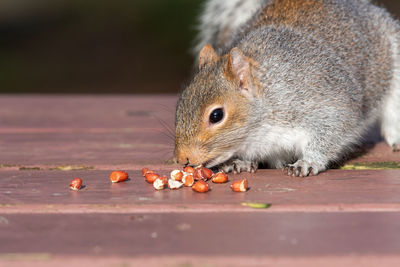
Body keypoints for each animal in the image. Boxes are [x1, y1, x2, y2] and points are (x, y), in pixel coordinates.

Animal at [174, 0, 400, 178]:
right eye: (180, 104)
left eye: (216, 115)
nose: (182, 159)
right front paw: (241, 161)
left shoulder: (327, 104)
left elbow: (332, 134)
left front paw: (308, 162)